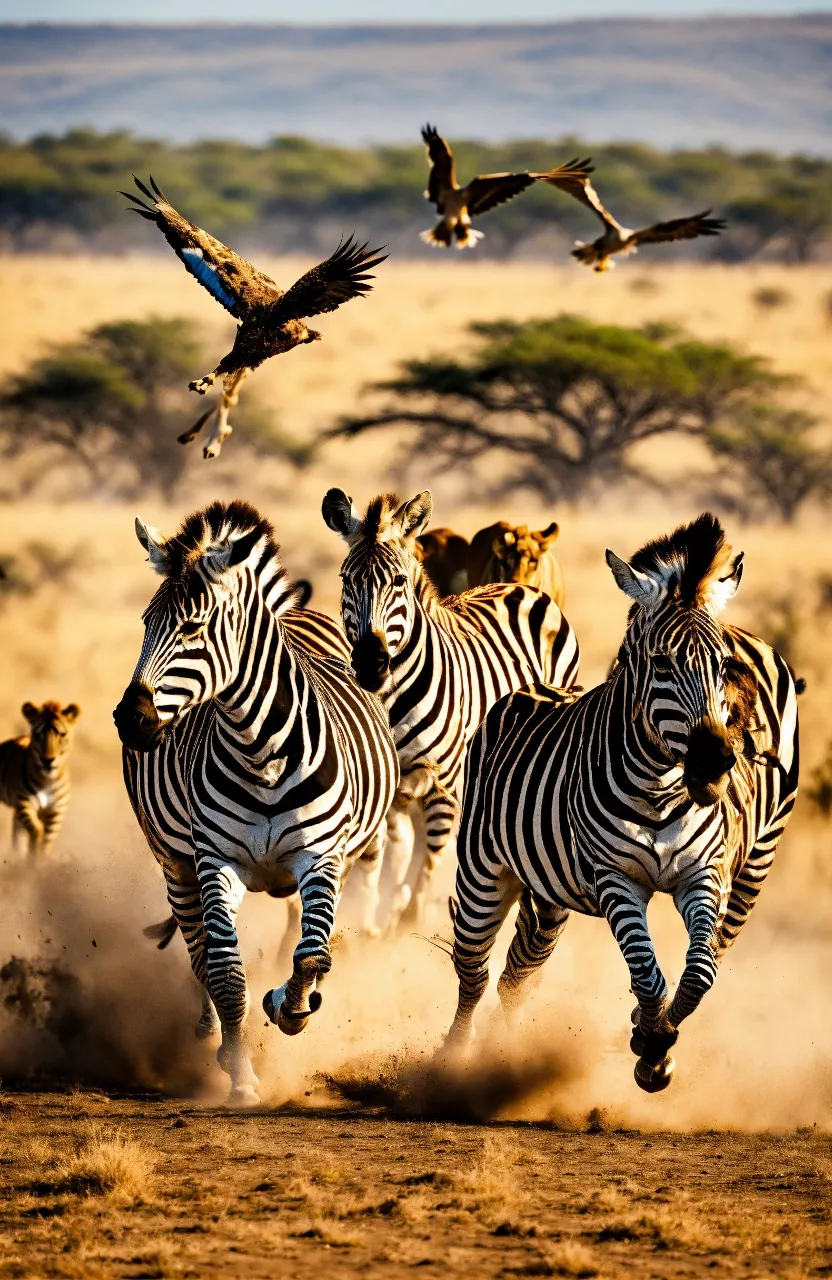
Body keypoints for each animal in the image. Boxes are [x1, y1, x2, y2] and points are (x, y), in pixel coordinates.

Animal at [0, 701, 80, 860]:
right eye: (38, 734)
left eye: (62, 734)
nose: (47, 761)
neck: (47, 780)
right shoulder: (24, 803)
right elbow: (36, 830)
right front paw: (32, 857)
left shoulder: (57, 811)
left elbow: (46, 843)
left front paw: (39, 861)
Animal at [112, 496, 394, 1100]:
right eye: (146, 624)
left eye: (192, 627)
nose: (131, 719)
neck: (259, 748)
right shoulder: (214, 860)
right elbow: (224, 970)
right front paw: (241, 1072)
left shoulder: (322, 856)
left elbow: (311, 953)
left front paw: (289, 1006)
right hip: (175, 862)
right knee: (200, 951)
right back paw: (213, 1034)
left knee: (308, 943)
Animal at [321, 483, 581, 926]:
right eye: (346, 580)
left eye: (399, 581)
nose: (370, 664)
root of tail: (524, 588)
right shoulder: (385, 784)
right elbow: (381, 861)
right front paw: (367, 918)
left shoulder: (442, 783)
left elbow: (424, 867)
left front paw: (400, 923)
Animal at [442, 509, 798, 1090]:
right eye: (661, 662)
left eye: (723, 667)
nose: (715, 762)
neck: (660, 789)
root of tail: (530, 688)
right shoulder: (615, 879)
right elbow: (649, 974)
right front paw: (650, 1043)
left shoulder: (703, 874)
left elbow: (696, 974)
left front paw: (653, 1041)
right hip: (483, 871)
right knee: (474, 970)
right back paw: (450, 1062)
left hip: (737, 869)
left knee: (521, 969)